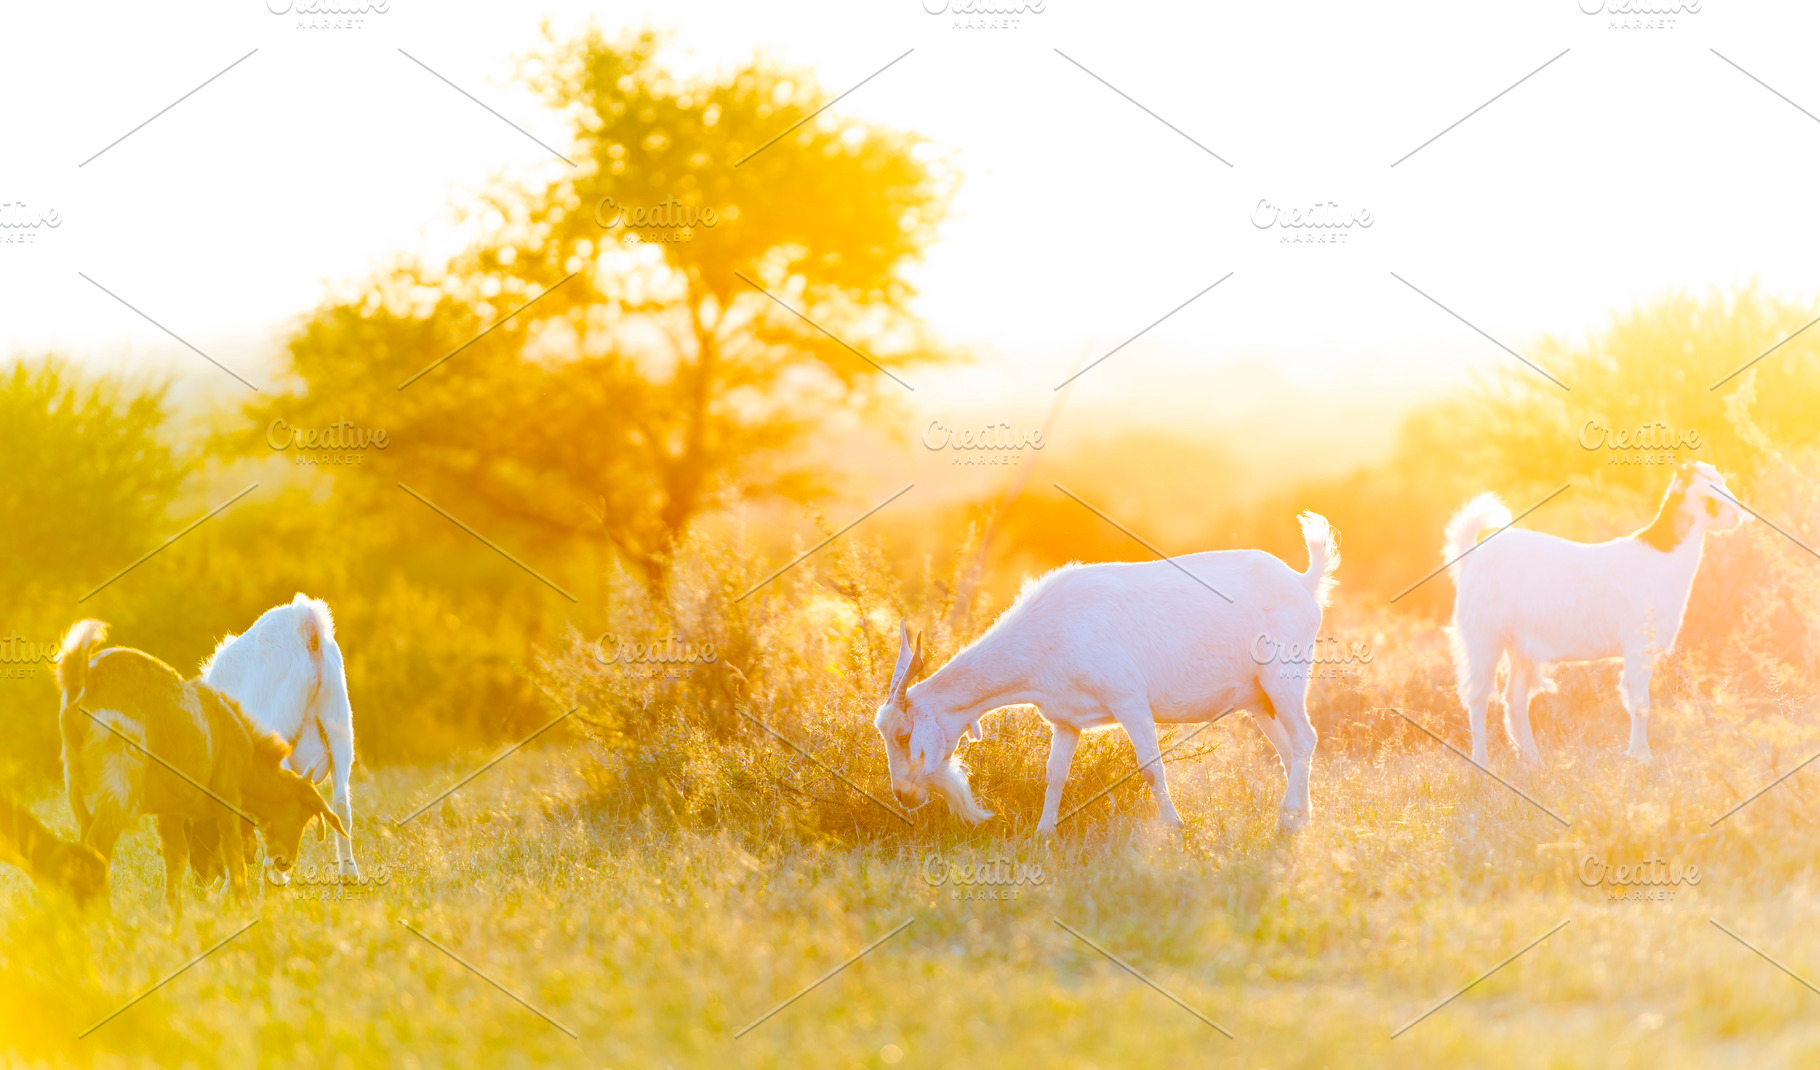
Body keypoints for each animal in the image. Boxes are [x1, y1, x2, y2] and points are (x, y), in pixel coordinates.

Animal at [57, 620, 349, 918]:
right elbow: (233, 854)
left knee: (84, 844)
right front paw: (243, 907)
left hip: (77, 787)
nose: (284, 862)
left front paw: (173, 915)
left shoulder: (172, 812)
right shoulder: (227, 798)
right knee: (98, 845)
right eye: (302, 816)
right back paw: (102, 915)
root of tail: (83, 676)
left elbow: (176, 859)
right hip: (120, 782)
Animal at [201, 594, 358, 879]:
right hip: (340, 727)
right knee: (342, 803)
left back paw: (274, 873)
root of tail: (304, 619)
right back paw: (348, 875)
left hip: (280, 730)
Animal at [876, 513, 1338, 834]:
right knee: (1289, 751)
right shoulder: (1065, 721)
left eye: (903, 734)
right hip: (1258, 701)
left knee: (1306, 738)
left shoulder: (1129, 701)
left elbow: (1151, 766)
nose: (903, 795)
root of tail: (1303, 582)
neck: (1048, 630)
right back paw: (1300, 820)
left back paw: (1287, 818)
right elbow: (1054, 775)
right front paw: (1042, 833)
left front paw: (1175, 826)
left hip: (1284, 679)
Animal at [1444, 460, 1747, 765]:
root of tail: (1471, 558)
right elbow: (1640, 704)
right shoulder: (1638, 647)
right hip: (1483, 636)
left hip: (1520, 646)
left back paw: (1533, 759)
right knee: (1478, 696)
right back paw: (1482, 761)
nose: (1736, 516)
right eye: (1710, 487)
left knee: (1514, 699)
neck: (1662, 556)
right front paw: (1641, 756)